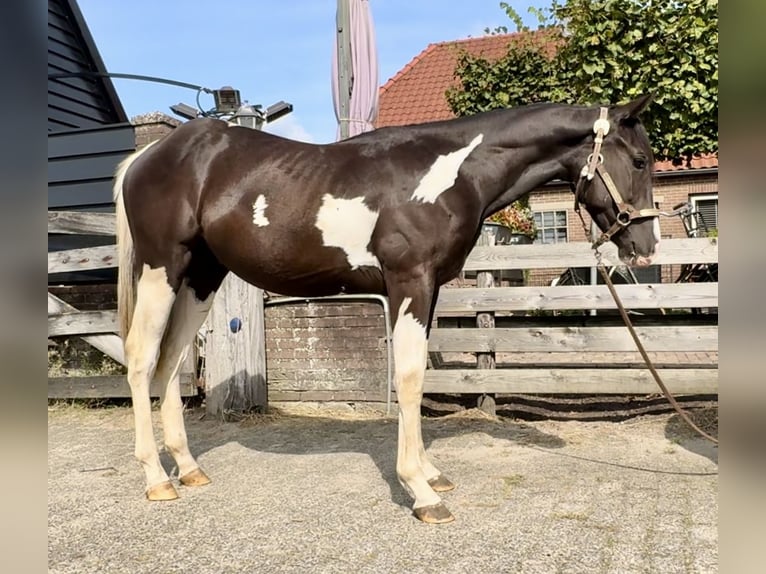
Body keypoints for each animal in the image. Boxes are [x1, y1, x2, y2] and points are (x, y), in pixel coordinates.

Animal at [112, 94, 660, 528]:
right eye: (638, 159)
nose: (645, 245)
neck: (449, 174)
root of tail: (148, 156)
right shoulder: (409, 283)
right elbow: (410, 378)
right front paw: (420, 491)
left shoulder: (429, 289)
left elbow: (418, 377)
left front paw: (432, 475)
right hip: (162, 268)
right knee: (141, 359)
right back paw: (157, 479)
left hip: (200, 278)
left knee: (170, 361)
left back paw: (188, 469)